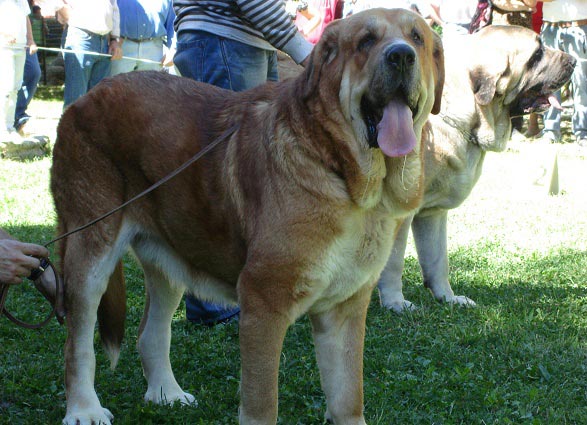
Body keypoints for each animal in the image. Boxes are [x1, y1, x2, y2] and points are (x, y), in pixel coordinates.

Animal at [51, 7, 446, 424]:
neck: (342, 176)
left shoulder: (344, 310)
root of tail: (86, 97)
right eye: (366, 41)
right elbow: (262, 403)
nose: (401, 56)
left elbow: (348, 398)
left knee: (151, 334)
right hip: (90, 254)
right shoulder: (263, 307)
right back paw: (84, 408)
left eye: (417, 38)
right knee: (77, 344)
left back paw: (166, 393)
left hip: (171, 259)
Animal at [378, 25, 576, 312]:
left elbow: (438, 259)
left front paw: (448, 297)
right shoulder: (398, 212)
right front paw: (395, 302)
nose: (573, 60)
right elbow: (393, 262)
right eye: (537, 53)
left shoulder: (431, 212)